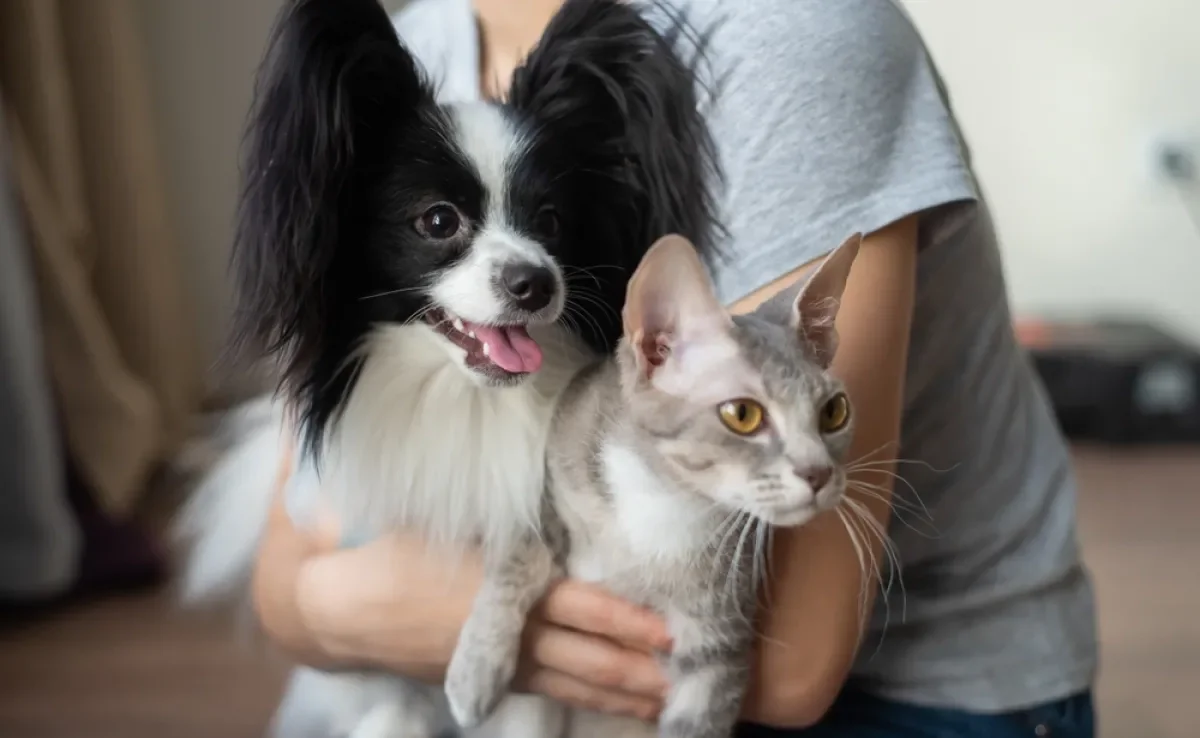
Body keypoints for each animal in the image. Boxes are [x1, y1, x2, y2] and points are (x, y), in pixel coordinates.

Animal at [441, 232, 864, 738]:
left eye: (834, 412)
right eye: (742, 414)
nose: (819, 472)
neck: (662, 501)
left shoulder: (719, 638)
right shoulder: (550, 476)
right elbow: (520, 552)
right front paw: (476, 670)